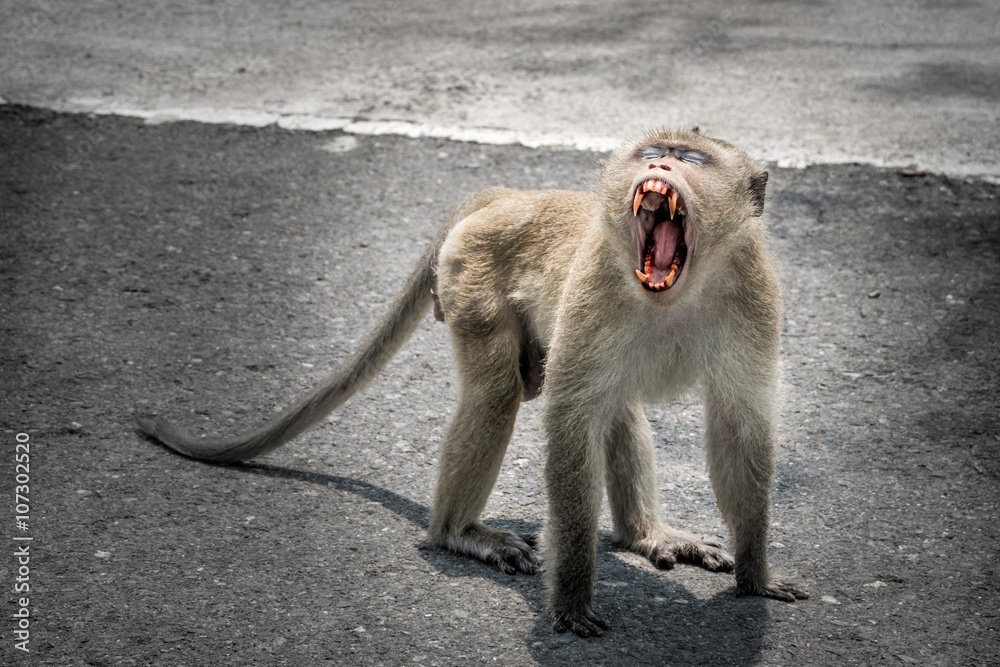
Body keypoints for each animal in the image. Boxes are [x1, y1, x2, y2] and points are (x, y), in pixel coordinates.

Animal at [136, 128, 808, 637]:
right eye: (652, 151)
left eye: (691, 159)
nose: (660, 164)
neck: (677, 290)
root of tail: (506, 196)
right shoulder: (594, 288)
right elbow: (569, 428)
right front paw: (571, 601)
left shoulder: (755, 297)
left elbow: (739, 428)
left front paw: (755, 575)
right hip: (471, 276)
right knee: (497, 395)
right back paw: (459, 533)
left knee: (615, 409)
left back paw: (642, 534)